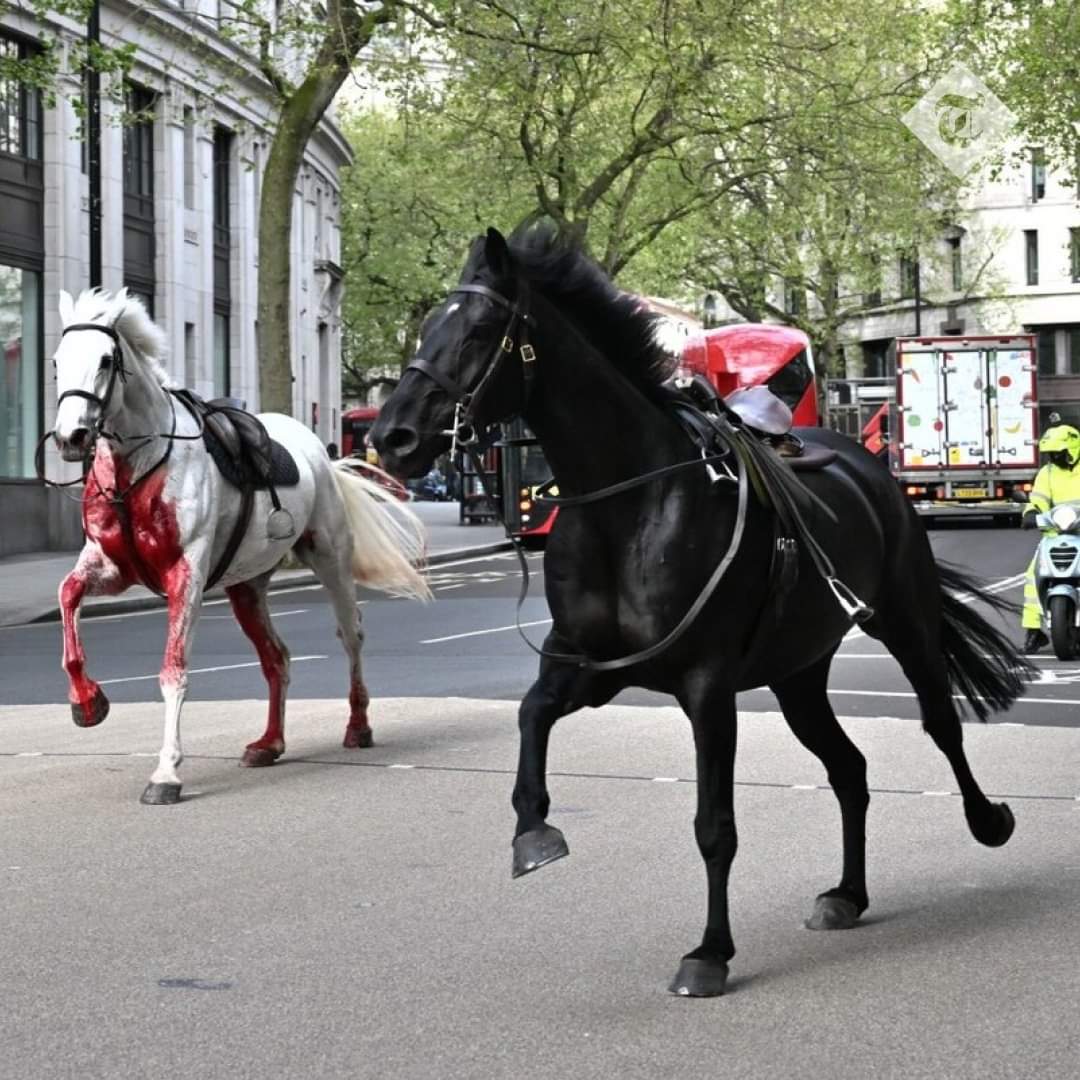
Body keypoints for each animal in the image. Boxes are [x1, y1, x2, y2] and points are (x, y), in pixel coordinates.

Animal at [50, 287, 429, 803]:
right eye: (56, 361)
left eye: (106, 360)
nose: (70, 437)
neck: (139, 466)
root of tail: (320, 451)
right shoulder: (111, 567)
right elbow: (67, 596)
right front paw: (87, 702)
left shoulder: (185, 574)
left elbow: (173, 671)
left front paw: (166, 773)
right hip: (246, 585)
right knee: (277, 657)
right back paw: (269, 743)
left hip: (330, 559)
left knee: (350, 635)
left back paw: (358, 726)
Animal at [373, 225, 1028, 993]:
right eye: (425, 327)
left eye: (477, 330)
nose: (391, 437)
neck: (627, 505)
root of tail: (863, 460)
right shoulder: (590, 666)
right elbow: (531, 715)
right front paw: (533, 833)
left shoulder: (706, 686)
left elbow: (714, 825)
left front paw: (710, 952)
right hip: (798, 673)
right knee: (849, 769)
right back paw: (847, 894)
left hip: (904, 619)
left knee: (939, 723)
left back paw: (987, 820)